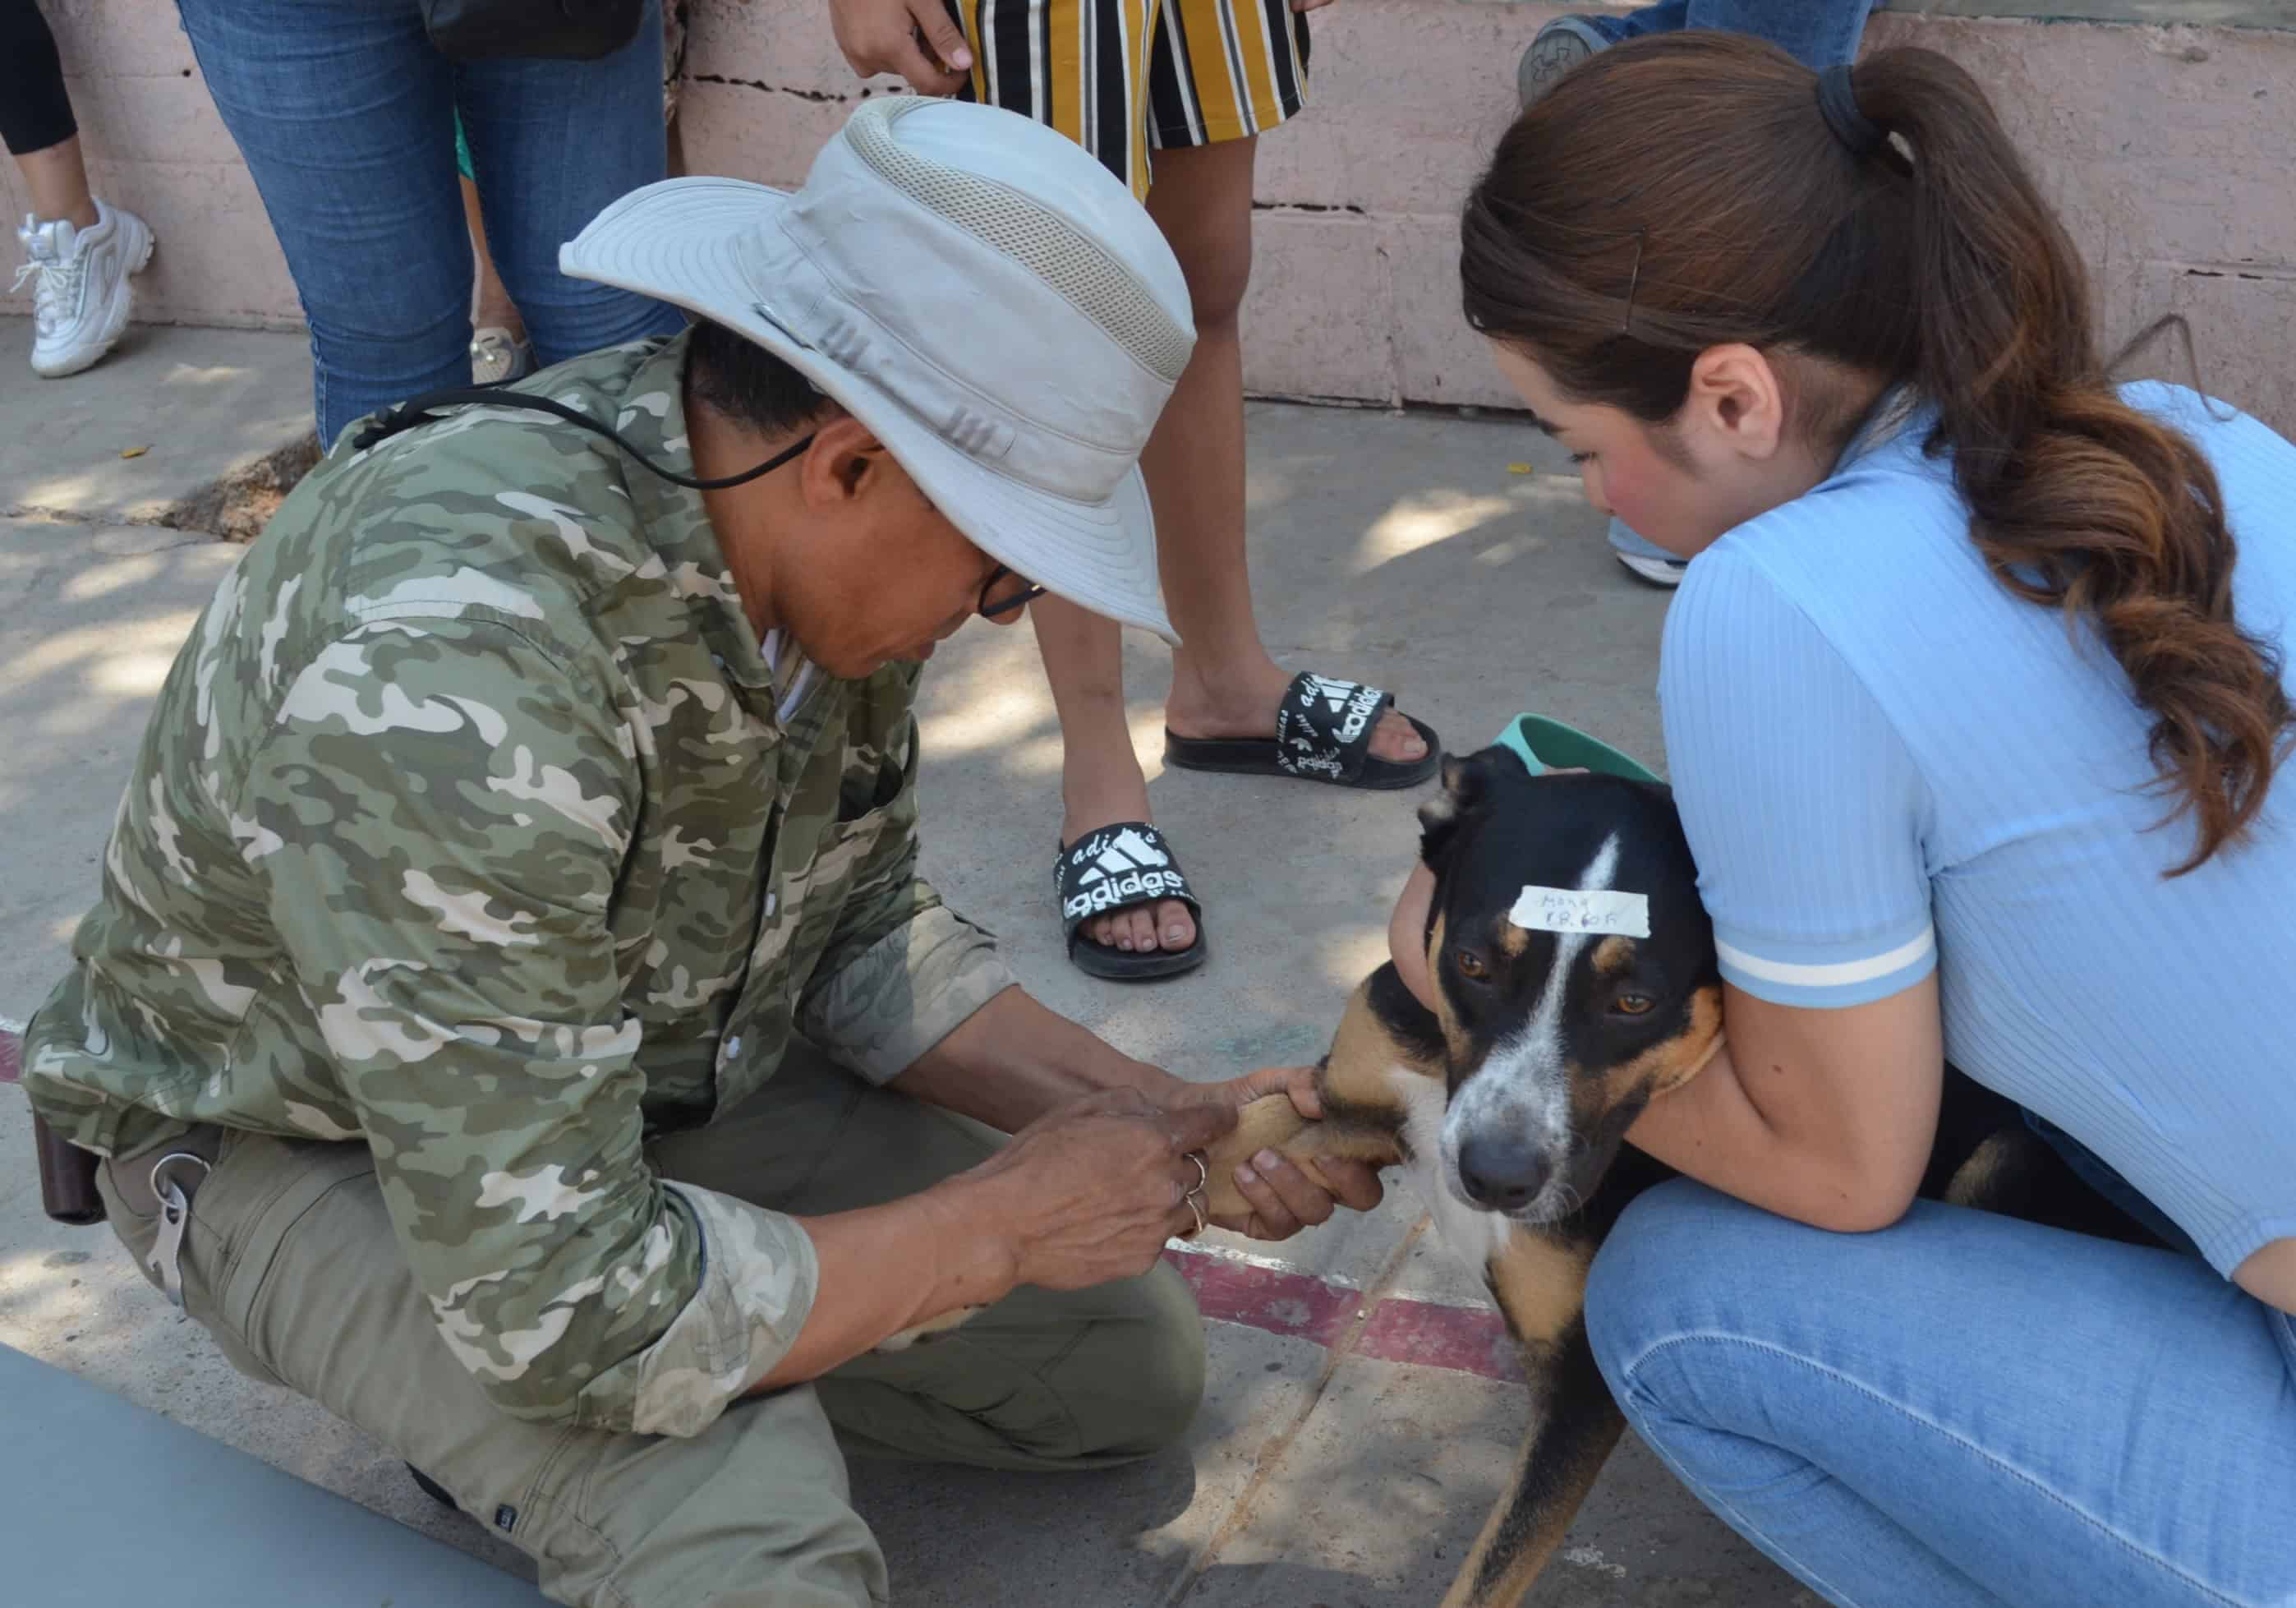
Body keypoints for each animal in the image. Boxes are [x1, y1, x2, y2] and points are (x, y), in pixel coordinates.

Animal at [1203, 749, 2149, 1598]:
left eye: (1634, 1002)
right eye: (1472, 964)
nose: (1494, 1178)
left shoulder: (1579, 1381)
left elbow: (1484, 1578)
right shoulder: (1351, 1096)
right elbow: (1218, 1143)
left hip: (2004, 1157)